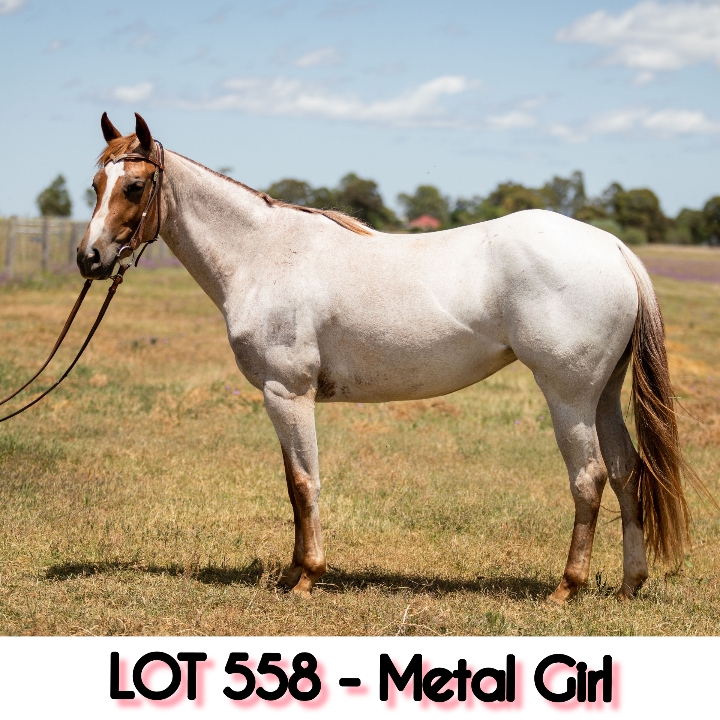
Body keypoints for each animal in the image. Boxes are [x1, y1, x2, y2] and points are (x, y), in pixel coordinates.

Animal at [78, 112, 700, 604]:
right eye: (95, 183)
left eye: (135, 186)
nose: (90, 258)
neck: (263, 253)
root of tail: (611, 247)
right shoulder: (282, 399)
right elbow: (293, 484)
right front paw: (292, 573)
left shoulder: (287, 392)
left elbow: (304, 482)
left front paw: (307, 577)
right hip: (603, 395)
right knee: (625, 471)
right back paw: (629, 583)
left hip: (568, 396)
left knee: (588, 478)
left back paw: (567, 588)